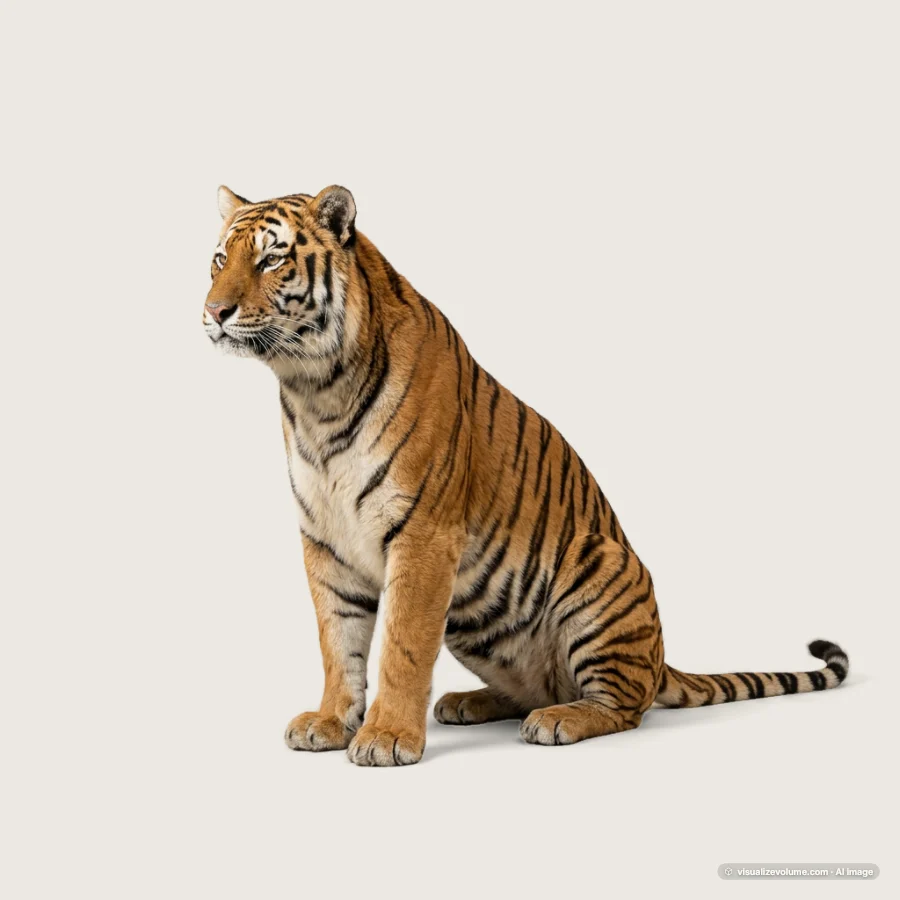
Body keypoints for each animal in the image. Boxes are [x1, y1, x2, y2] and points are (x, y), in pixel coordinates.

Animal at [203, 184, 850, 767]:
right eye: (219, 259)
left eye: (270, 259)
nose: (213, 313)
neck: (315, 392)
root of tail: (660, 657)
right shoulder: (326, 540)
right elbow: (338, 643)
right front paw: (332, 721)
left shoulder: (423, 535)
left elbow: (402, 646)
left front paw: (386, 736)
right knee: (541, 685)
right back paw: (469, 702)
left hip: (600, 567)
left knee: (625, 706)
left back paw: (558, 720)